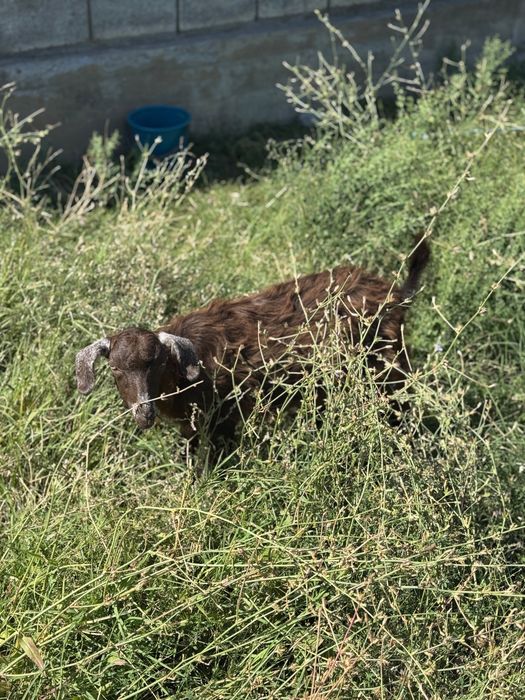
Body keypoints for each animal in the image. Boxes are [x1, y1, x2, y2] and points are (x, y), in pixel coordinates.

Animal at [76, 238, 429, 452]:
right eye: (115, 369)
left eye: (159, 363)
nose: (144, 414)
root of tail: (395, 295)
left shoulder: (220, 416)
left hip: (387, 366)